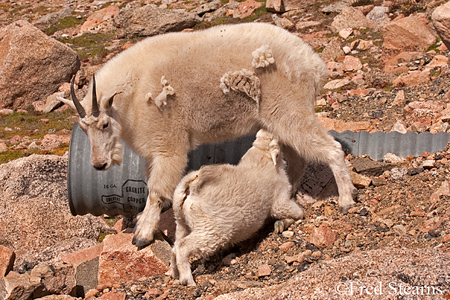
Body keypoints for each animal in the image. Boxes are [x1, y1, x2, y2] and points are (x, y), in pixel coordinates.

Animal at [59, 22, 356, 248]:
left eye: (104, 124)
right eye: (83, 129)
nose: (99, 165)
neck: (131, 95)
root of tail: (314, 64)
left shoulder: (169, 146)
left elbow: (156, 192)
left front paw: (141, 236)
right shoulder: (152, 152)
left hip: (289, 110)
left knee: (330, 149)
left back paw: (345, 201)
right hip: (278, 120)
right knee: (297, 160)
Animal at [171, 129, 304, 286]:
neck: (262, 158)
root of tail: (189, 188)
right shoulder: (280, 200)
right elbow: (295, 212)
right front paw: (286, 221)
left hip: (181, 223)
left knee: (175, 247)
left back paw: (174, 273)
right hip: (210, 230)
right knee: (183, 246)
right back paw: (187, 279)